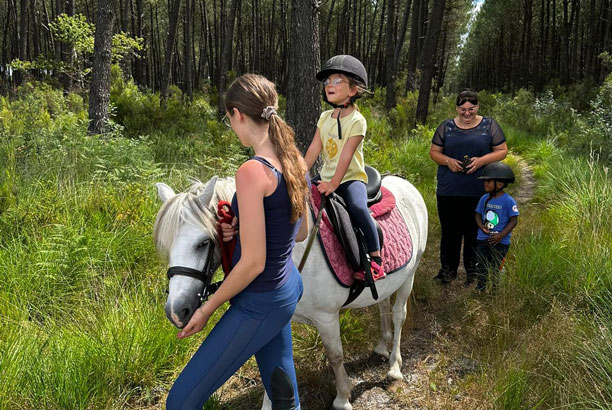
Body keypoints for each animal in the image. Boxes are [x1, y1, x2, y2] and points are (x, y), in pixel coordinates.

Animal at [155, 175, 428, 410]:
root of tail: (405, 183)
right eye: (167, 246)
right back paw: (382, 345)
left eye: (203, 242)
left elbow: (335, 355)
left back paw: (394, 368)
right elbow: (272, 366)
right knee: (382, 305)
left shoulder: (326, 317)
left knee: (398, 315)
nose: (176, 311)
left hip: (411, 274)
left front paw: (342, 397)